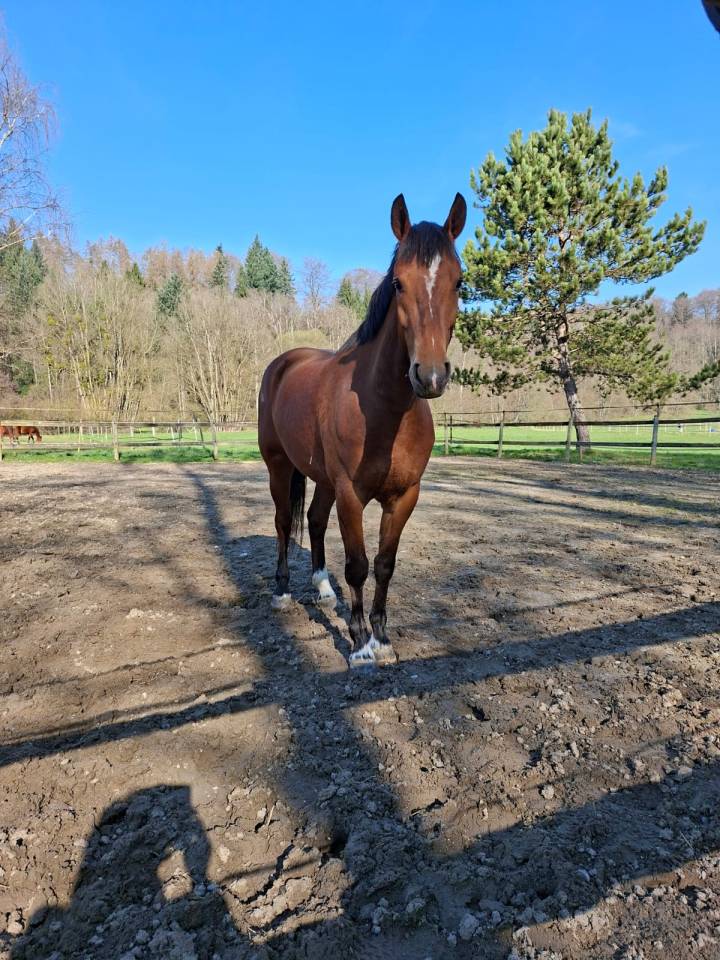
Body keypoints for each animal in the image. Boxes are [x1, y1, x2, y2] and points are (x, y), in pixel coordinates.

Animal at [259, 192, 466, 665]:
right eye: (398, 284)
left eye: (459, 282)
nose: (430, 376)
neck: (384, 409)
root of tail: (284, 362)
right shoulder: (352, 494)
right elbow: (357, 565)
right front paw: (358, 643)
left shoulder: (404, 496)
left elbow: (384, 565)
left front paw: (382, 636)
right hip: (280, 466)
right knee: (282, 522)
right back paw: (282, 592)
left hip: (322, 478)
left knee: (314, 520)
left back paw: (321, 589)